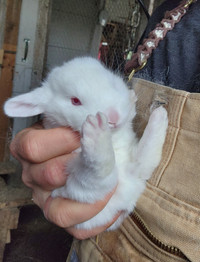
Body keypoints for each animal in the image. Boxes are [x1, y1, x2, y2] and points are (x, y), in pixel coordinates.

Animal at [3, 56, 168, 229]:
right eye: (75, 101)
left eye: (112, 83)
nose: (113, 118)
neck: (113, 140)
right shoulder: (74, 188)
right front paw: (96, 129)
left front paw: (134, 98)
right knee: (100, 173)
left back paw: (159, 115)